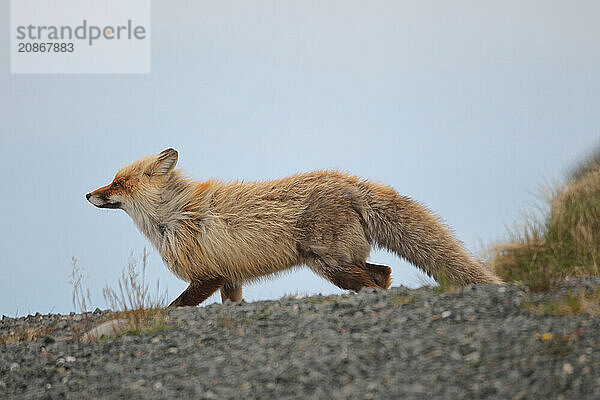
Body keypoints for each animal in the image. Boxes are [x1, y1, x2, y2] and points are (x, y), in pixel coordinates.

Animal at [86, 148, 502, 308]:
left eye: (117, 183)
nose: (88, 194)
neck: (173, 218)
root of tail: (349, 182)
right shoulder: (230, 278)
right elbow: (231, 303)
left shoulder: (207, 276)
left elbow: (175, 307)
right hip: (331, 265)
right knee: (382, 272)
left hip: (333, 264)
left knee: (377, 277)